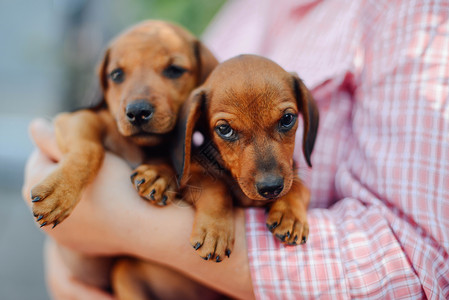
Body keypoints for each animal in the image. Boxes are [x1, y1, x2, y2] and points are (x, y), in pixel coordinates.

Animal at [29, 20, 217, 227]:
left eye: (174, 70)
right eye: (116, 74)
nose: (137, 113)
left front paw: (159, 174)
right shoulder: (76, 118)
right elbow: (90, 149)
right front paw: (60, 191)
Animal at [172, 55, 318, 262]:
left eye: (287, 118)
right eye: (224, 129)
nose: (271, 188)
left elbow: (297, 187)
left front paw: (290, 215)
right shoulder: (193, 178)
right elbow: (215, 187)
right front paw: (215, 230)